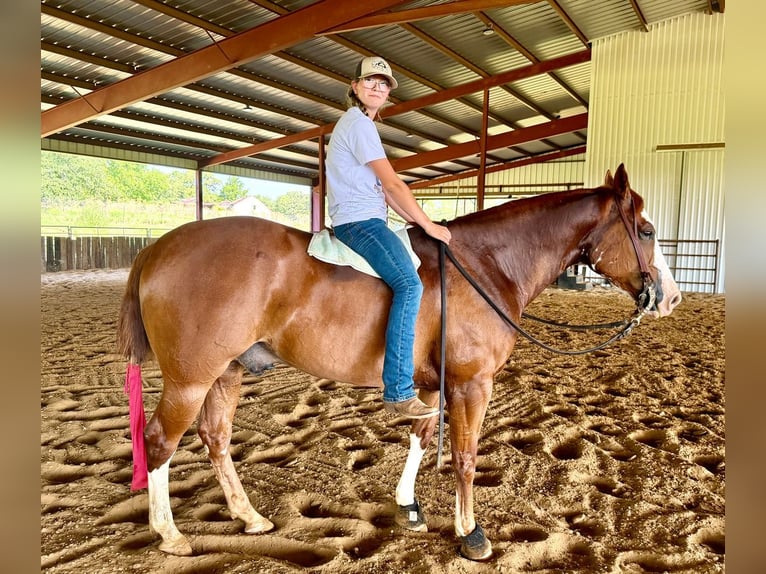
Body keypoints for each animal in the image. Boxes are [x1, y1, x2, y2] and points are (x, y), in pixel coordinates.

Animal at [116, 164, 681, 560]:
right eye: (647, 231)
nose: (670, 298)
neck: (484, 265)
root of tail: (157, 248)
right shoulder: (472, 385)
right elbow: (466, 457)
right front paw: (471, 534)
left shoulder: (430, 387)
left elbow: (421, 439)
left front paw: (409, 506)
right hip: (190, 379)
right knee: (160, 441)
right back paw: (170, 534)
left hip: (226, 373)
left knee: (216, 438)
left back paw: (249, 516)